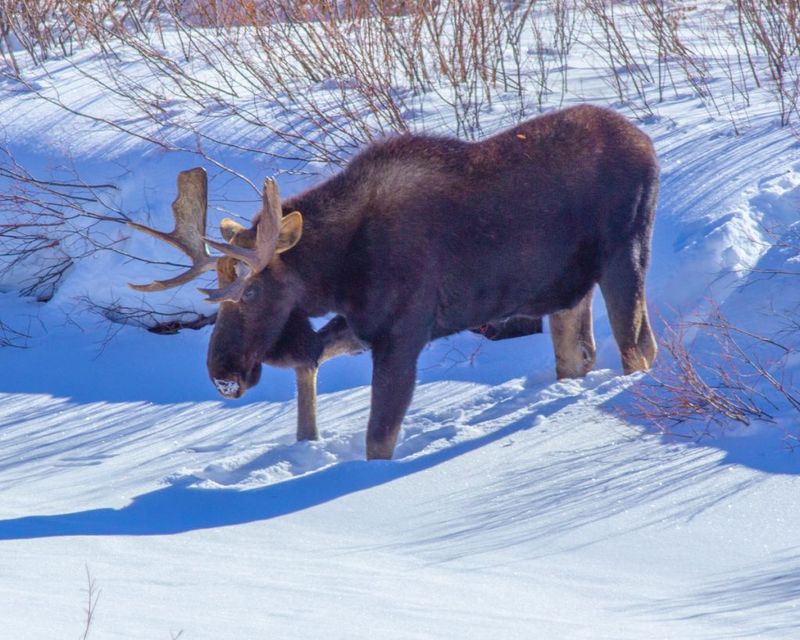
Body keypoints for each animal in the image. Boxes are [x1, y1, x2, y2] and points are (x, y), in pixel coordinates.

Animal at [130, 107, 656, 462]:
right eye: (215, 295)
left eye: (253, 291)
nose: (222, 372)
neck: (337, 272)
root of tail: (647, 143)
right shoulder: (362, 325)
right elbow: (310, 359)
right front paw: (307, 439)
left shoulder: (403, 334)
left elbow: (378, 439)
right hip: (567, 289)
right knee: (580, 355)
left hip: (624, 253)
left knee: (637, 350)